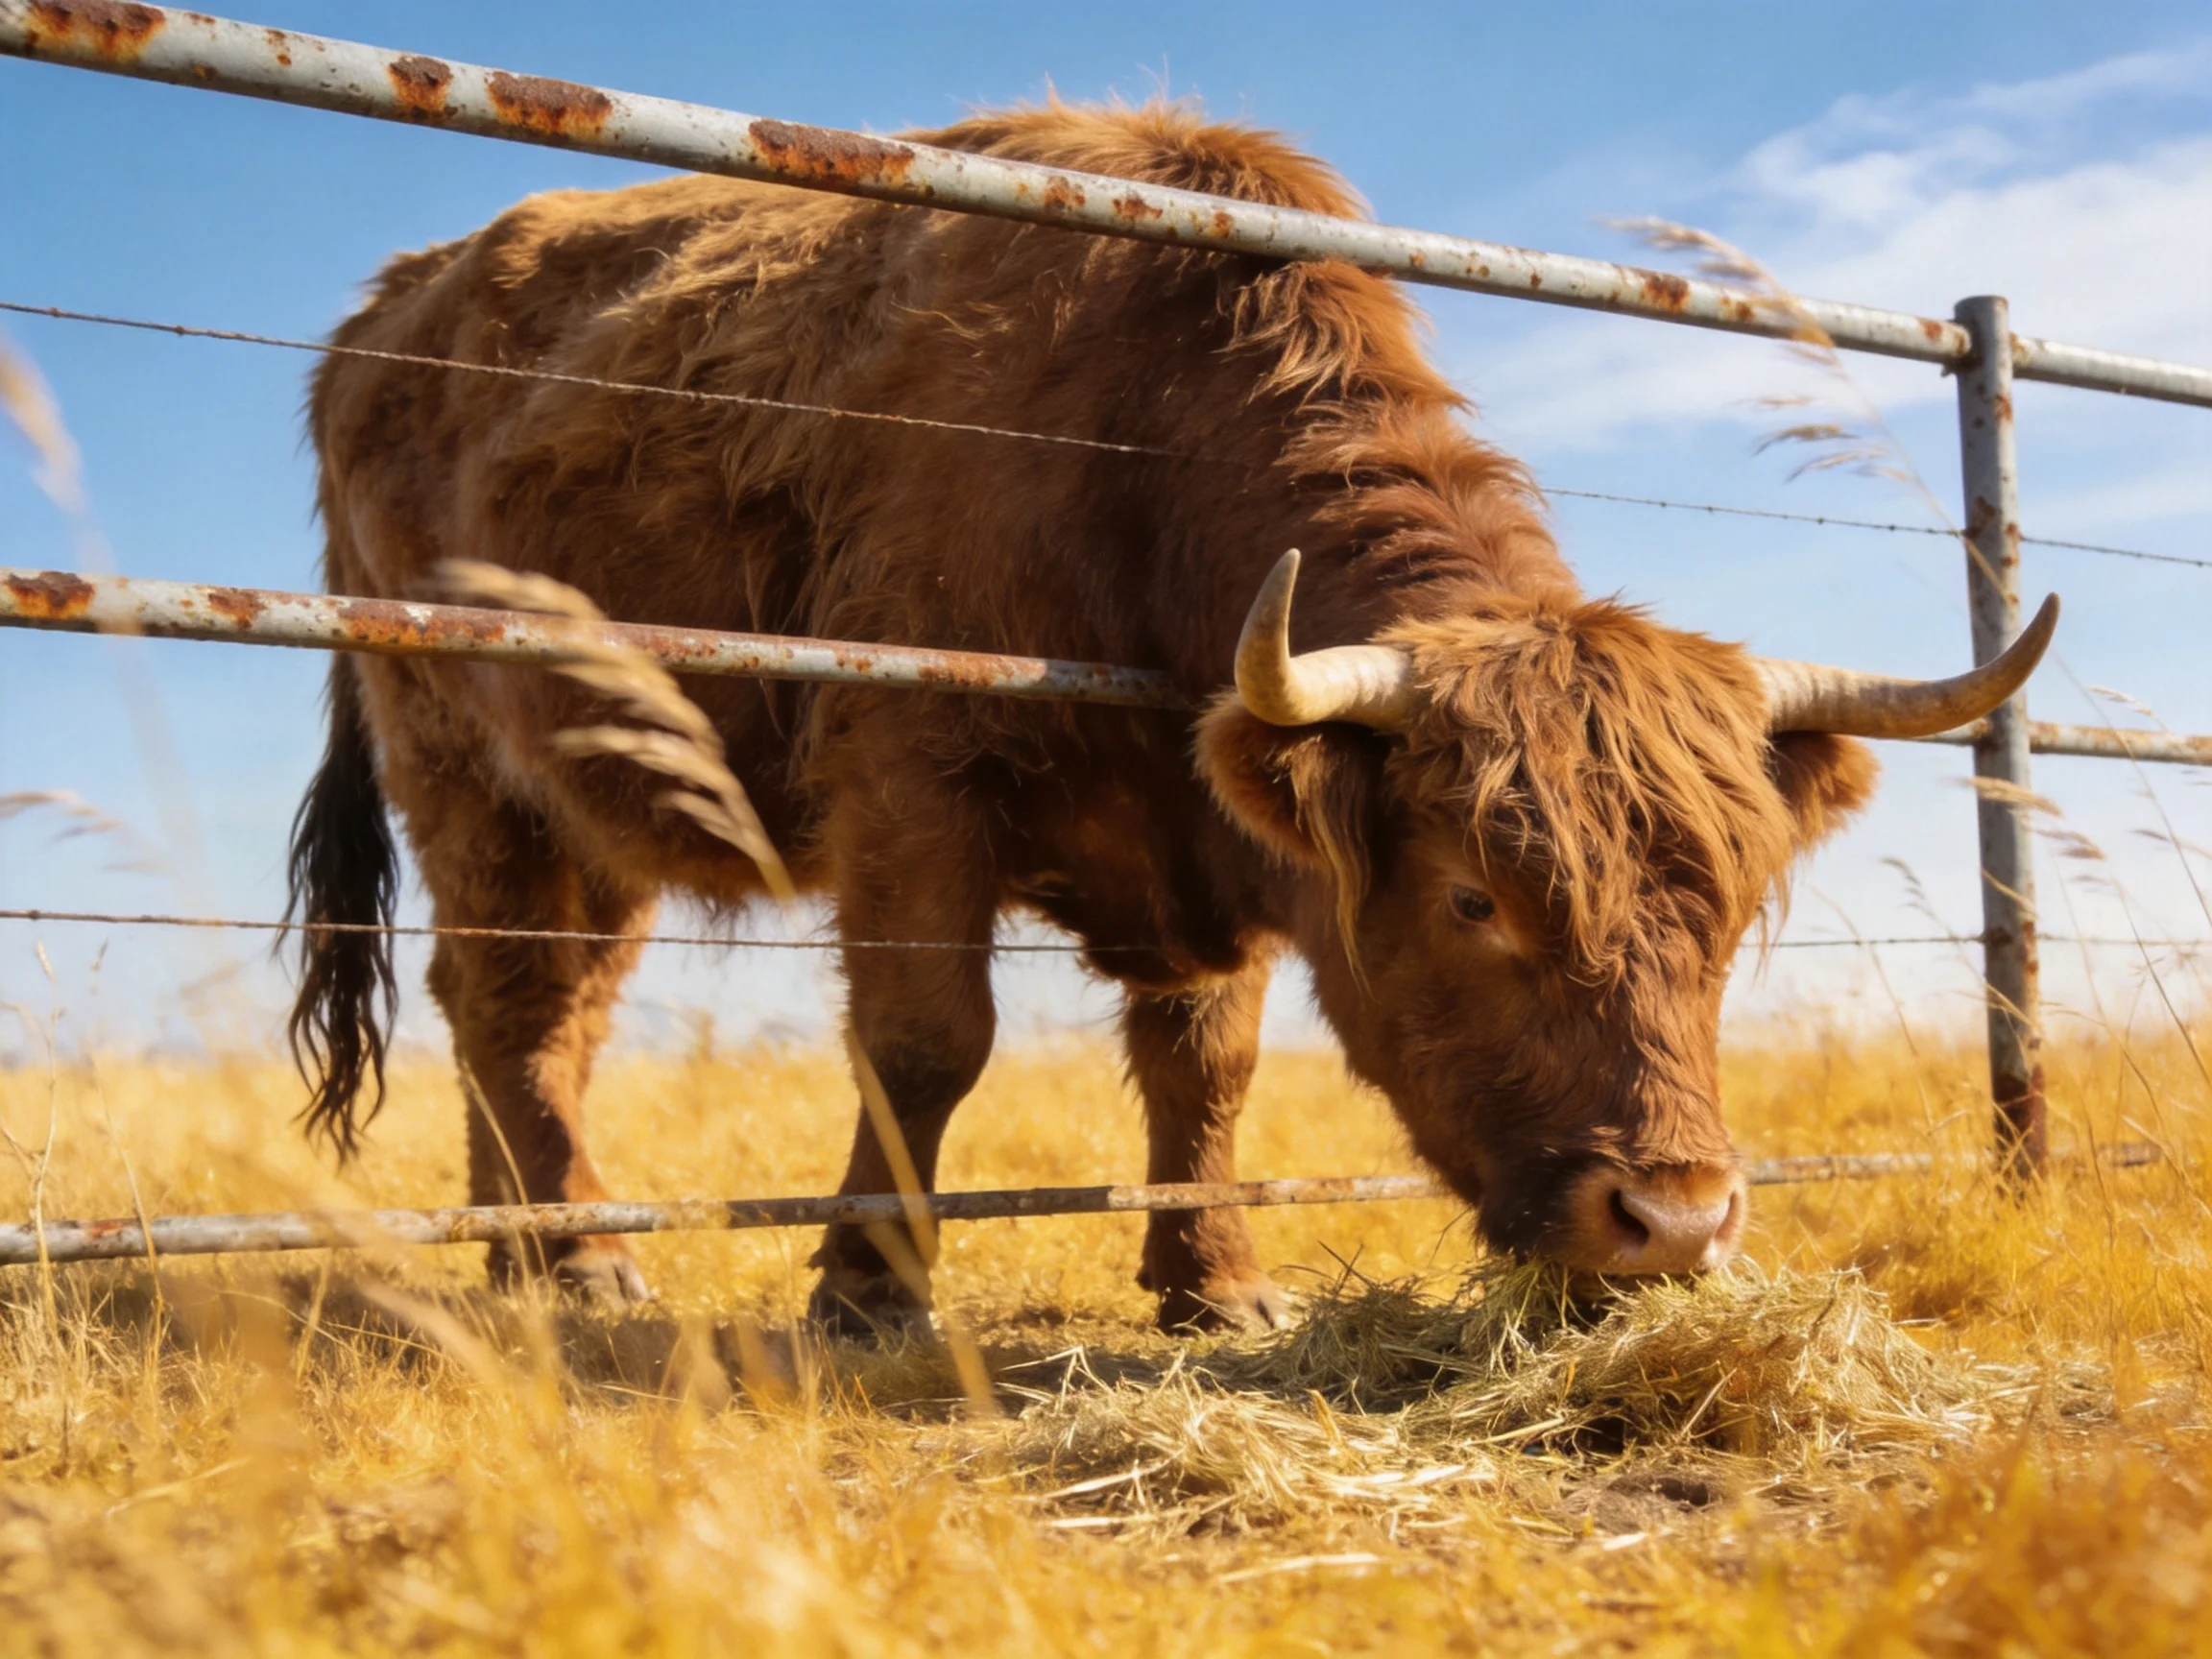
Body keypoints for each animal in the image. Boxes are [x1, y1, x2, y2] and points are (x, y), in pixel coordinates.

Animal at [287, 102, 2053, 1333]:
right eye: (1474, 896)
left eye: (1731, 909)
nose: (1674, 1222)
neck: (1122, 433)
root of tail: (379, 323)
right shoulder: (911, 775)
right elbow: (928, 1037)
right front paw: (867, 1284)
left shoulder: (1211, 826)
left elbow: (1207, 1067)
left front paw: (1215, 1279)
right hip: (464, 763)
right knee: (511, 1006)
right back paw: (582, 1259)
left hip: (592, 822)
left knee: (538, 1013)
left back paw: (520, 1253)